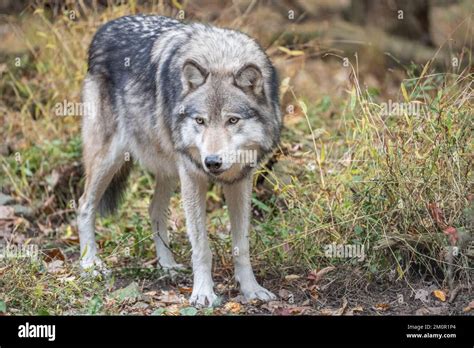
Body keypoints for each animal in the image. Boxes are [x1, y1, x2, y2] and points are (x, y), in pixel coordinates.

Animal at [78, 14, 282, 306]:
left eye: (232, 120)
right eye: (200, 121)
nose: (212, 162)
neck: (220, 57)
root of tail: (105, 27)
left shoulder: (239, 180)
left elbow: (241, 245)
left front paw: (251, 289)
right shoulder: (193, 177)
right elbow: (201, 248)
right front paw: (203, 293)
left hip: (170, 170)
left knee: (154, 210)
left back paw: (168, 266)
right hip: (110, 159)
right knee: (84, 205)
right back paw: (90, 265)